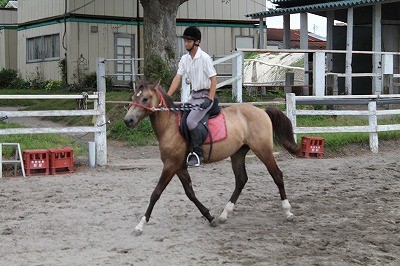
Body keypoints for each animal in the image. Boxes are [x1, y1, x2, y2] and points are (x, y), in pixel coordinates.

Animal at [123, 79, 302, 235]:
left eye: (145, 99)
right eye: (133, 97)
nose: (128, 120)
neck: (170, 126)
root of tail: (262, 111)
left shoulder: (170, 165)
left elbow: (156, 193)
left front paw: (140, 225)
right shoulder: (179, 166)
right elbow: (190, 193)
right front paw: (210, 217)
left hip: (263, 151)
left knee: (277, 175)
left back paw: (288, 212)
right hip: (238, 153)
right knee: (241, 180)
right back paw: (224, 214)